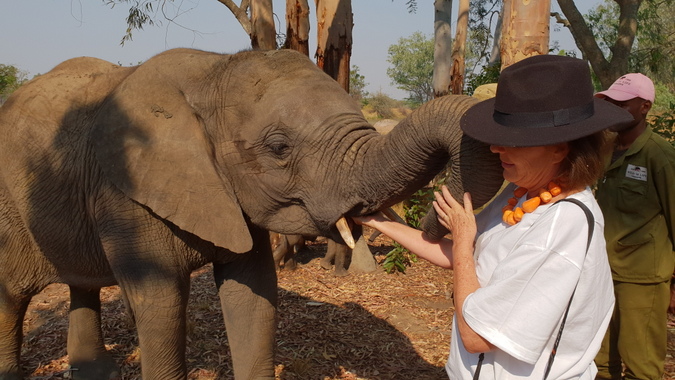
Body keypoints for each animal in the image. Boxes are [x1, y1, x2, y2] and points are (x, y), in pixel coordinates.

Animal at [0, 48, 504, 380]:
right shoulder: (123, 192)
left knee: (79, 282)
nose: (435, 221)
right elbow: (160, 303)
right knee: (13, 295)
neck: (211, 69)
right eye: (279, 148)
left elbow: (253, 293)